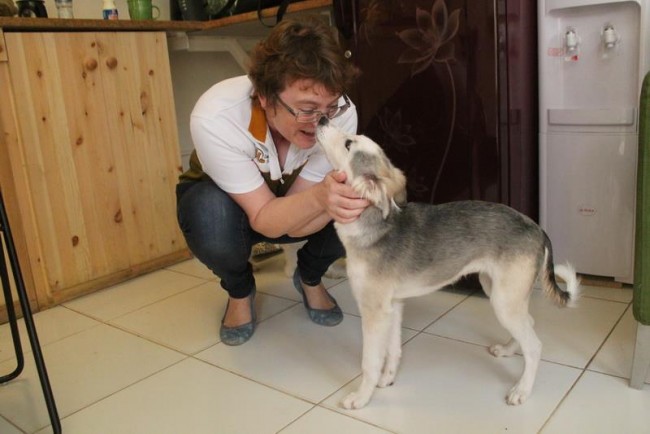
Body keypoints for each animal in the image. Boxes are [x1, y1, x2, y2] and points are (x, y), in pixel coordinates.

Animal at [314, 118, 576, 410]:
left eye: (348, 144)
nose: (322, 119)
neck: (374, 225)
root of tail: (537, 228)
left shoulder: (375, 311)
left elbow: (369, 362)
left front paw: (361, 397)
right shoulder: (394, 306)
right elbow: (393, 350)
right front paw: (388, 379)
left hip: (504, 300)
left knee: (534, 346)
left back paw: (522, 390)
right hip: (500, 292)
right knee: (528, 323)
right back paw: (508, 349)